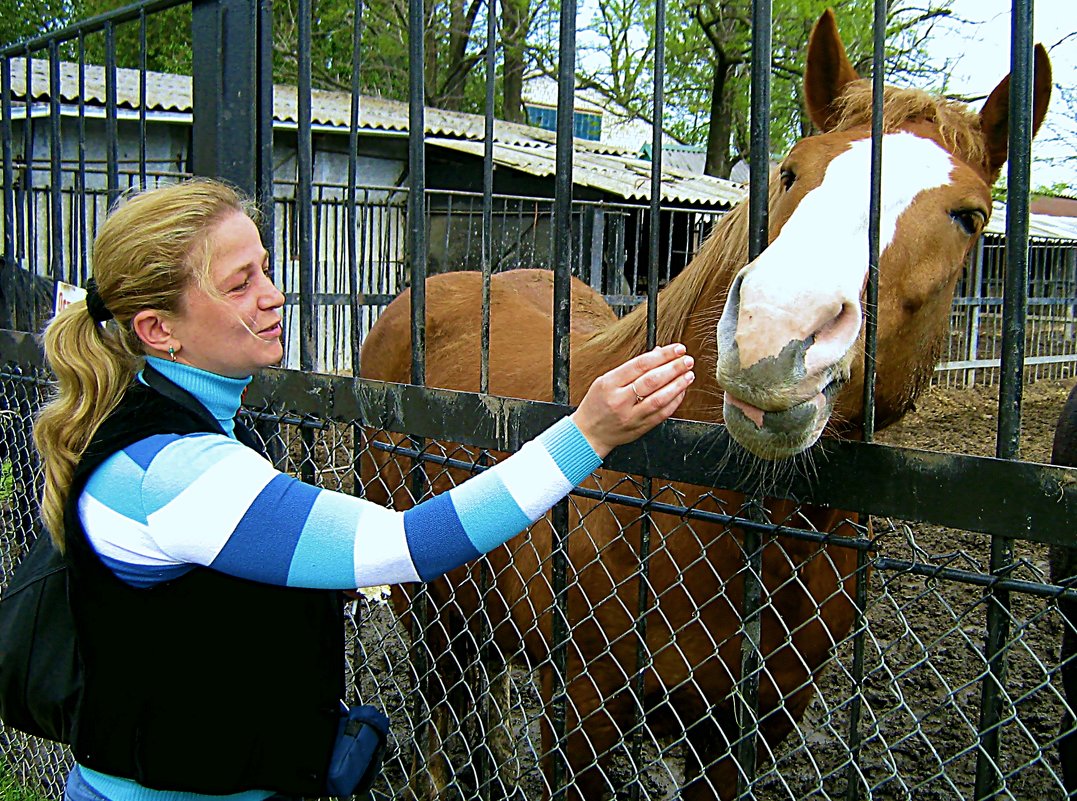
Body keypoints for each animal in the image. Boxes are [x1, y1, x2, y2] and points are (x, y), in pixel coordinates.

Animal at [359, 9, 1051, 796]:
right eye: (792, 171)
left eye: (969, 216)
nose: (775, 336)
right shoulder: (582, 714)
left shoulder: (747, 727)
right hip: (427, 608)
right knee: (442, 705)